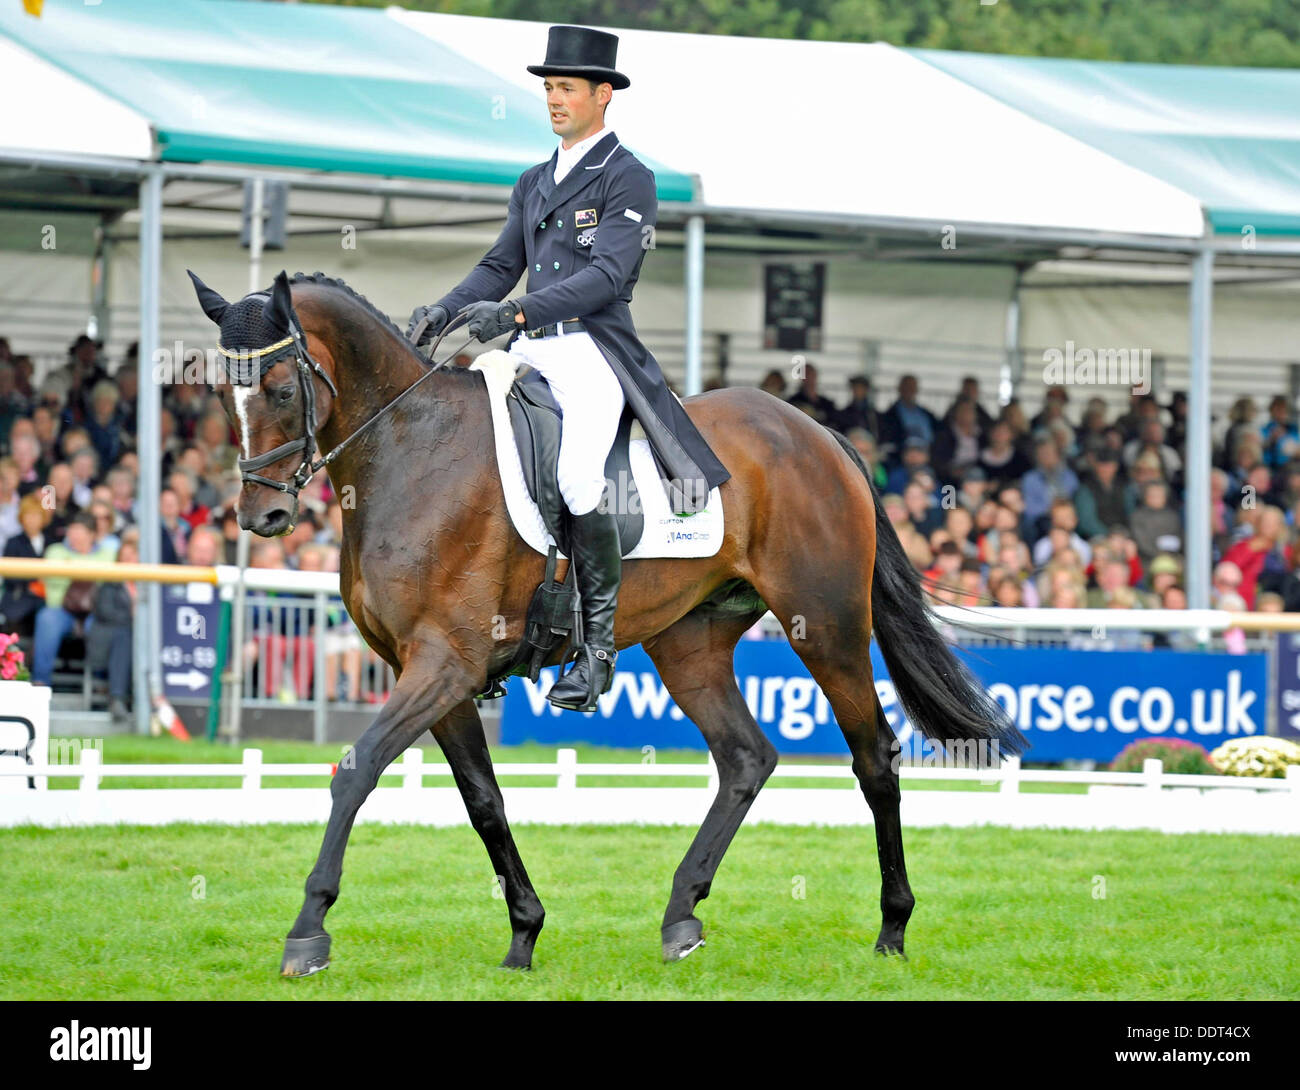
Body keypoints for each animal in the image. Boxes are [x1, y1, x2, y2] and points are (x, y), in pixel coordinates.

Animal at [189, 269, 1024, 978]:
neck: (411, 451)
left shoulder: (443, 663)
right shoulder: (428, 671)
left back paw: (892, 928)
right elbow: (483, 800)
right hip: (689, 643)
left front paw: (308, 932)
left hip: (827, 626)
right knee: (746, 757)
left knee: (874, 757)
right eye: (223, 394)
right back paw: (682, 916)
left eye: (278, 386)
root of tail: (822, 436)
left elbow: (355, 770)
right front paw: (524, 932)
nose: (260, 518)